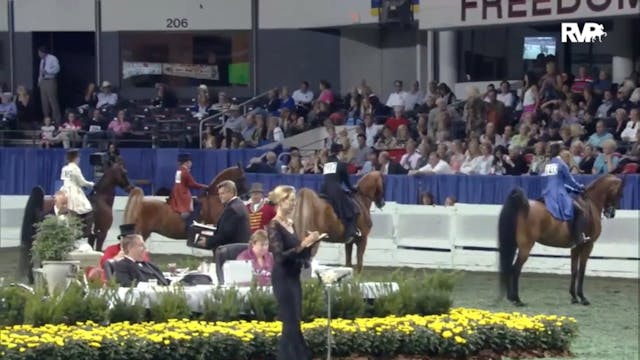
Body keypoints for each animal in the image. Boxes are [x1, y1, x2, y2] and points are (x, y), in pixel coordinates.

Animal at [498, 174, 628, 306]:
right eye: (620, 193)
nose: (611, 213)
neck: (591, 204)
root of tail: (522, 206)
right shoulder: (588, 245)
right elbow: (582, 271)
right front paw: (582, 298)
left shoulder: (576, 247)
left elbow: (574, 270)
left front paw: (574, 297)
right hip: (526, 246)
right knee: (516, 269)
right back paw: (517, 299)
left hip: (515, 244)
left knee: (509, 267)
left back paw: (511, 297)